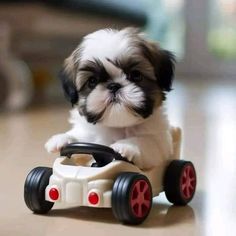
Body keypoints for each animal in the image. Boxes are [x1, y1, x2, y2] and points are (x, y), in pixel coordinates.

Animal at [45, 27, 179, 170]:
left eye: (136, 75)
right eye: (92, 81)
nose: (114, 86)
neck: (117, 126)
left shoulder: (159, 144)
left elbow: (144, 141)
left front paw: (126, 145)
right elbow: (80, 139)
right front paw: (63, 138)